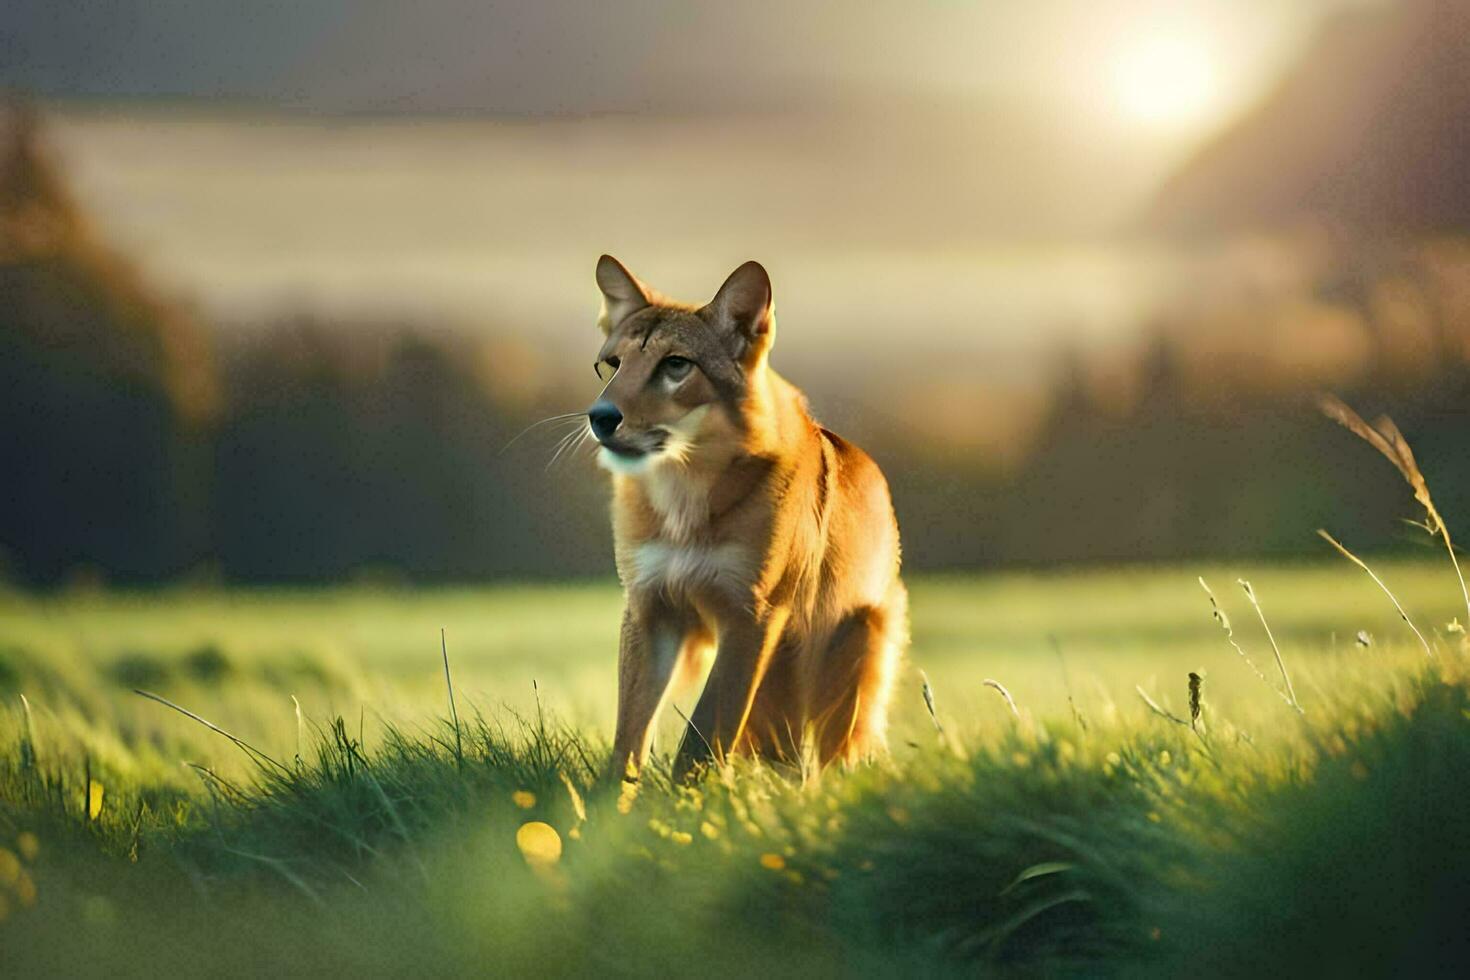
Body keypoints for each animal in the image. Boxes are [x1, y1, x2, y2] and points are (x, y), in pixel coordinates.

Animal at [588, 255, 905, 781]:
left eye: (676, 365)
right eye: (612, 365)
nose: (600, 417)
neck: (685, 505)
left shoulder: (750, 617)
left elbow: (699, 735)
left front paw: (681, 799)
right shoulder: (650, 607)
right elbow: (628, 741)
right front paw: (609, 804)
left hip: (855, 647)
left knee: (826, 762)